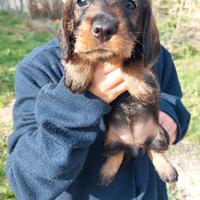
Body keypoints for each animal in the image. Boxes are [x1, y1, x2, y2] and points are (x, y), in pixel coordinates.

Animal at [57, 0, 178, 186]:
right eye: (81, 2)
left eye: (131, 5)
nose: (103, 29)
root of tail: (135, 146)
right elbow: (80, 50)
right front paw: (77, 74)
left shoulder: (140, 52)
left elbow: (131, 58)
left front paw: (142, 85)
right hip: (109, 143)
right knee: (116, 155)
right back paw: (105, 174)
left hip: (161, 135)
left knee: (155, 150)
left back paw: (167, 171)